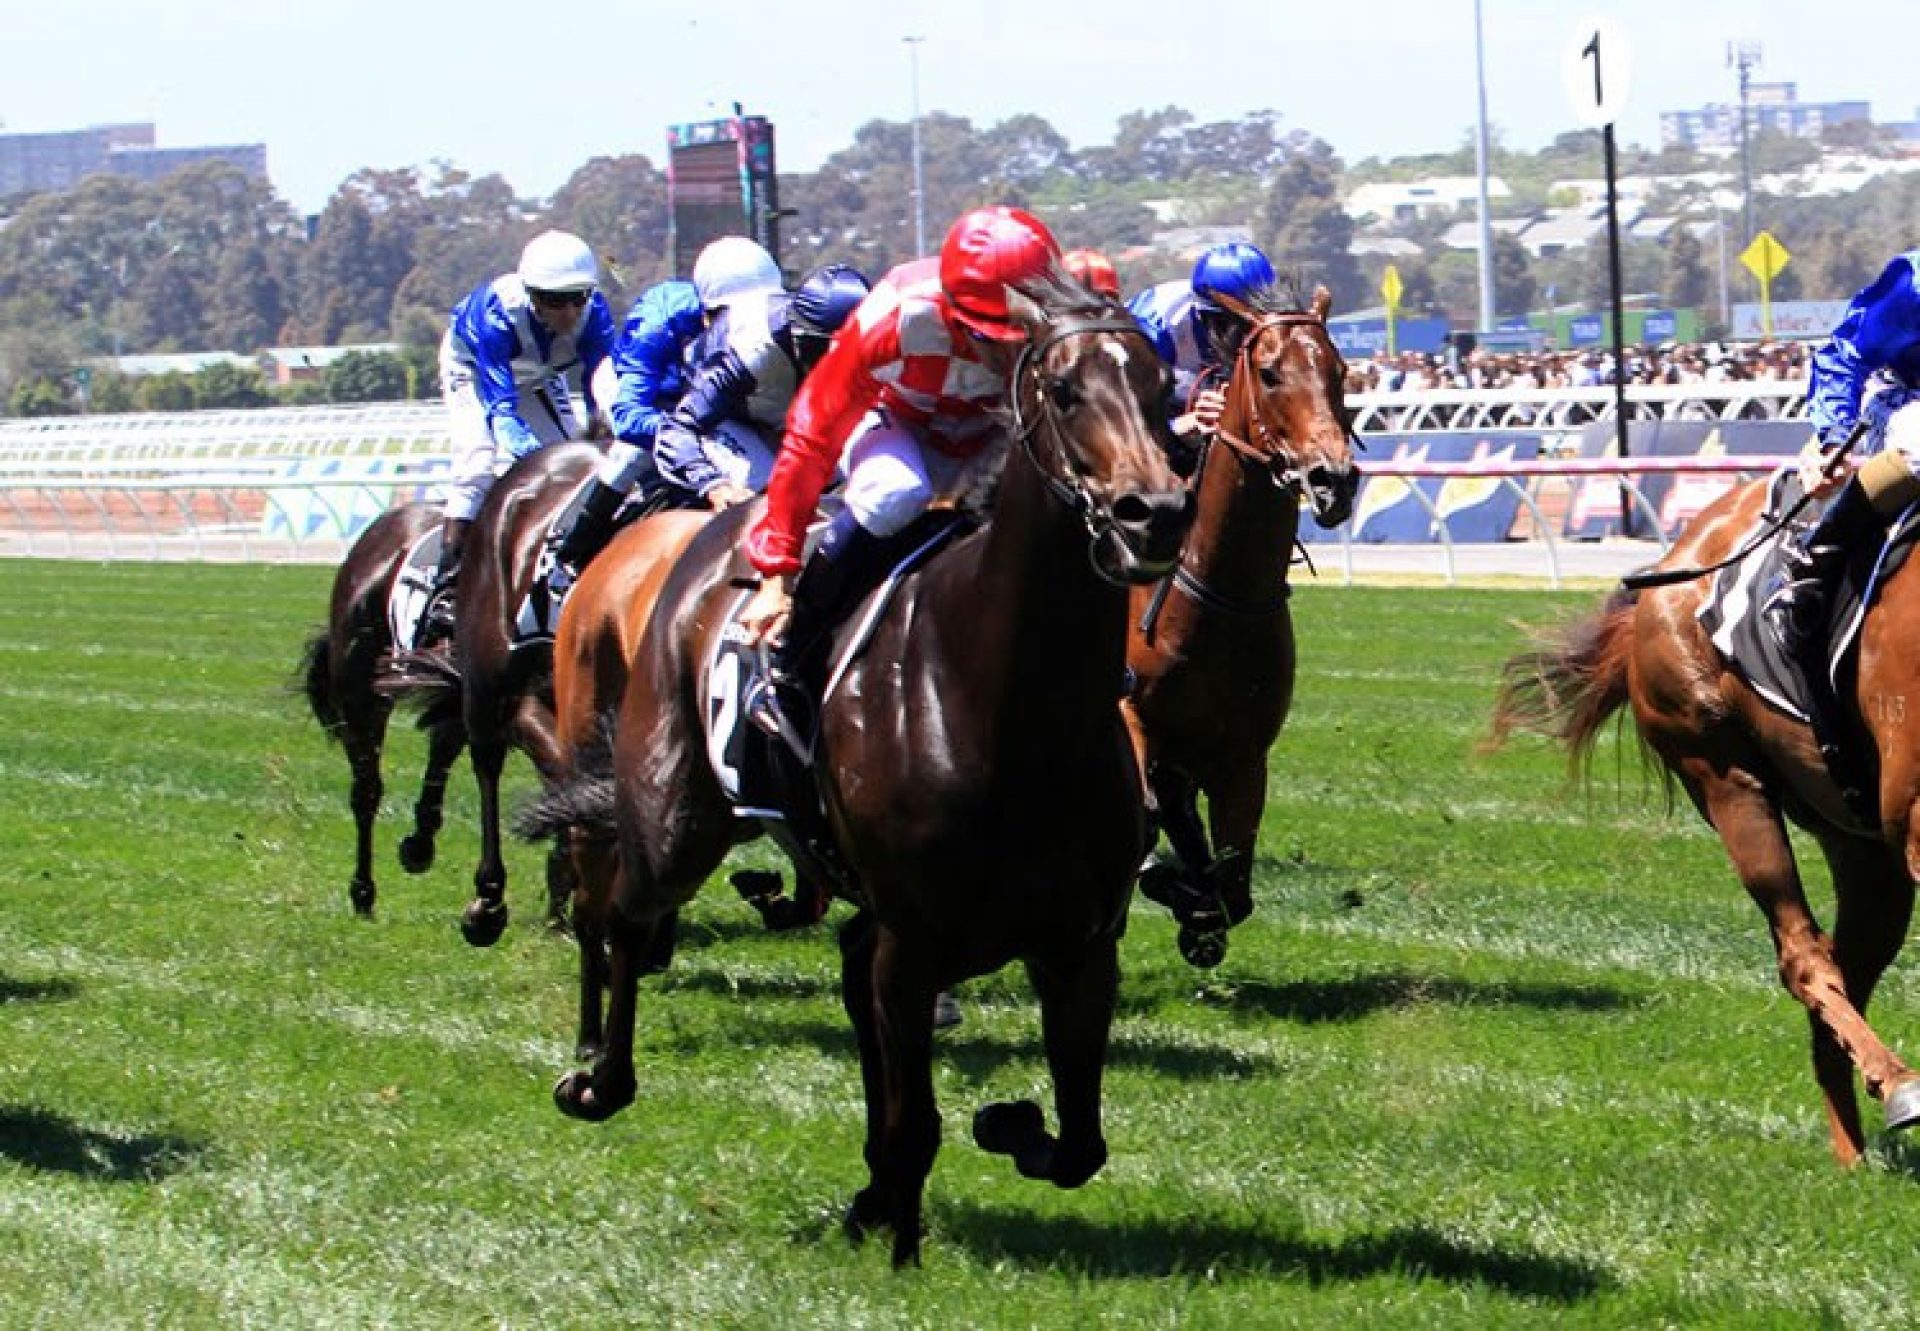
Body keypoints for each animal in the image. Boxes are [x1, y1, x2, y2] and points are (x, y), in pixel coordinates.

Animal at [518, 272, 1190, 1267]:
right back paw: (598, 1075)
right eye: (1067, 390)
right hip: (674, 812)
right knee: (623, 913)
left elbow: (1079, 1143)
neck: (1008, 707)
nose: (1155, 512)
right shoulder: (916, 944)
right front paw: (906, 1246)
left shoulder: (1079, 945)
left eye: (1161, 386)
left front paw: (1004, 1126)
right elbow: (918, 1118)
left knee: (838, 956)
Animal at [1121, 286, 1359, 960]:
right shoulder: (1130, 717)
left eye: (1340, 372)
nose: (1332, 480)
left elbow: (1231, 884)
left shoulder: (1244, 756)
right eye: (1271, 373)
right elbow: (1145, 823)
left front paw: (1200, 913)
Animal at [1489, 480, 1920, 1160]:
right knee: (1803, 955)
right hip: (1723, 772)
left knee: (1844, 970)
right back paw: (1897, 1087)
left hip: (1860, 842)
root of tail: (1672, 563)